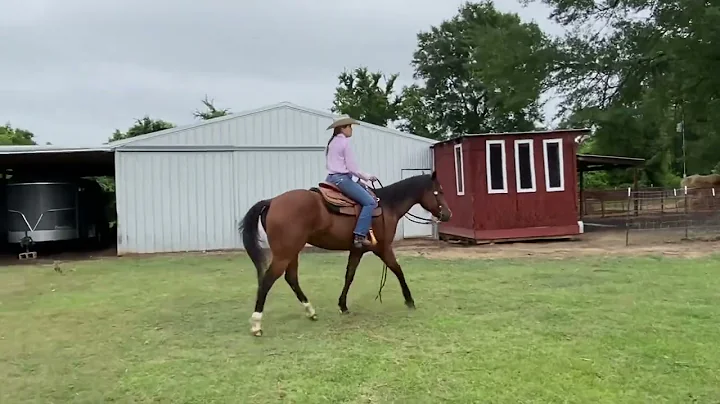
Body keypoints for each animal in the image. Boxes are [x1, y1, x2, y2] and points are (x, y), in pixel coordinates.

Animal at [239, 172, 452, 336]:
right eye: (439, 192)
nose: (448, 214)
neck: (387, 206)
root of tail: (272, 202)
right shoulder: (383, 248)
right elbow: (398, 270)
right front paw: (409, 300)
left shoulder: (357, 250)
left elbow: (349, 275)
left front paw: (343, 306)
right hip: (285, 253)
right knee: (267, 280)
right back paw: (257, 324)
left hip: (292, 252)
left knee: (291, 278)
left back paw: (310, 311)